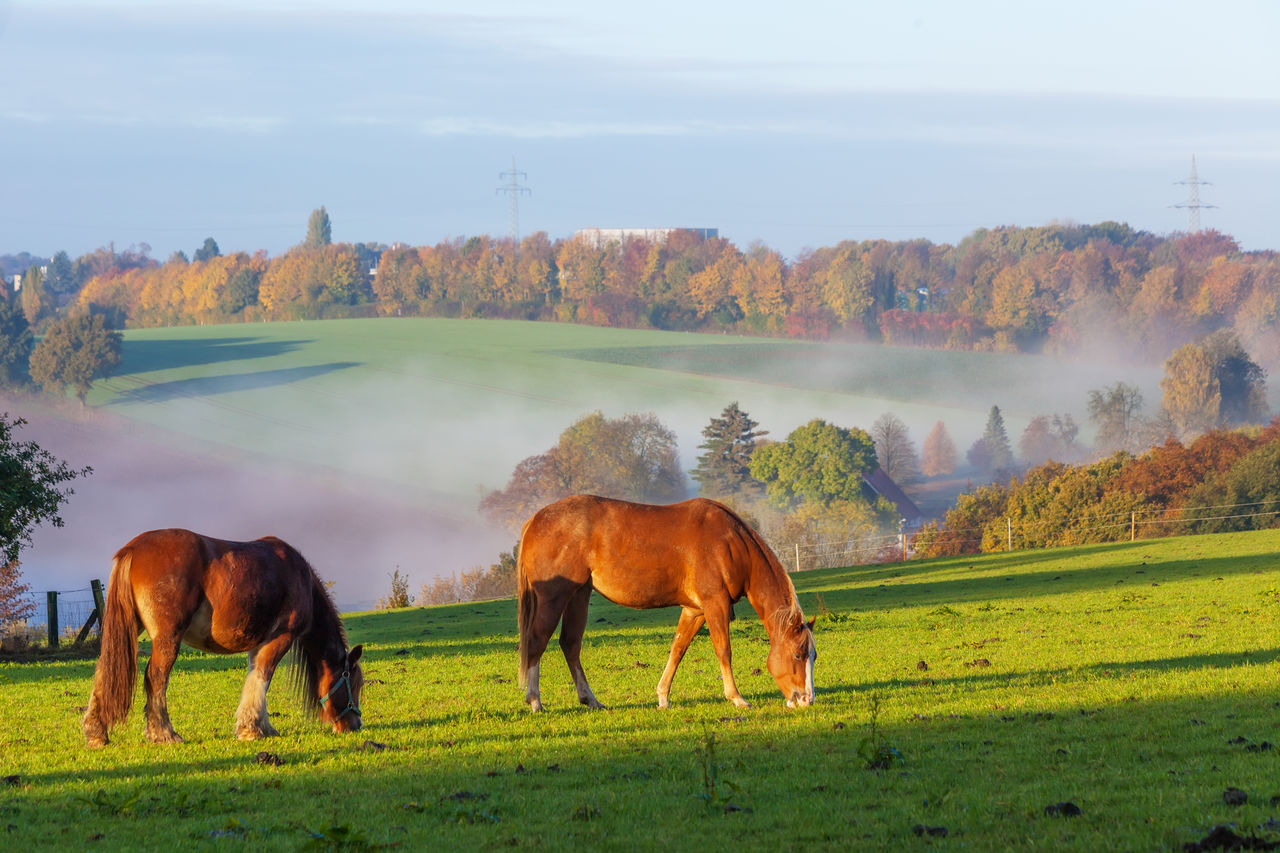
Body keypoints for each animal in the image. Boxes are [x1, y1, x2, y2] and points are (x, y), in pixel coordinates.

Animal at [83, 525, 366, 742]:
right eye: (355, 683)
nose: (355, 725)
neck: (300, 578)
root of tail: (133, 549)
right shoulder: (281, 636)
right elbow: (263, 676)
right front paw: (251, 730)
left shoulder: (260, 642)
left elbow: (254, 676)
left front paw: (261, 726)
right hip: (167, 638)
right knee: (156, 678)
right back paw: (164, 734)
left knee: (104, 669)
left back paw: (96, 733)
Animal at [514, 494, 814, 706]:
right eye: (798, 654)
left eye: (813, 655)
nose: (806, 699)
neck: (730, 541)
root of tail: (535, 520)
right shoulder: (715, 604)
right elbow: (723, 650)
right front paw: (737, 698)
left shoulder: (694, 610)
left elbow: (677, 650)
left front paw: (662, 697)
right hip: (555, 597)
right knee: (537, 641)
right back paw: (535, 701)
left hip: (579, 595)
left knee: (570, 644)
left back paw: (591, 699)